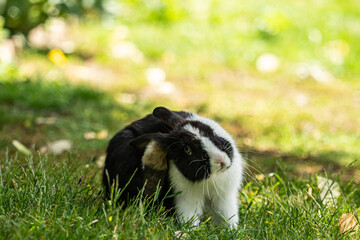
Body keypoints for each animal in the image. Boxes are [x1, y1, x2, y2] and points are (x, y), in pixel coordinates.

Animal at [104, 107, 245, 229]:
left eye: (211, 132)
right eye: (187, 150)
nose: (220, 160)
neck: (211, 178)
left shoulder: (225, 197)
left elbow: (227, 216)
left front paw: (231, 231)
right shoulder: (187, 199)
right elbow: (189, 217)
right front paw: (188, 232)